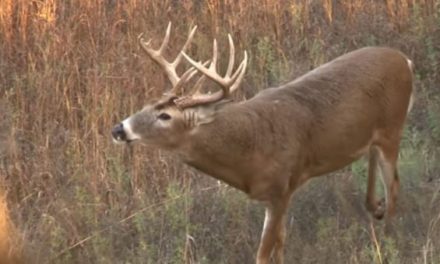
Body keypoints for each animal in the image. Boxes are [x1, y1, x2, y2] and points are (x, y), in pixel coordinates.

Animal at [111, 23, 414, 264]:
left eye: (165, 115)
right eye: (146, 104)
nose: (119, 128)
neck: (249, 154)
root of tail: (405, 60)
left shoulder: (281, 188)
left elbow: (263, 253)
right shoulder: (279, 194)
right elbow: (280, 244)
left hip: (393, 127)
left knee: (395, 185)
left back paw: (388, 239)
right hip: (375, 135)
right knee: (374, 163)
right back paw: (374, 208)